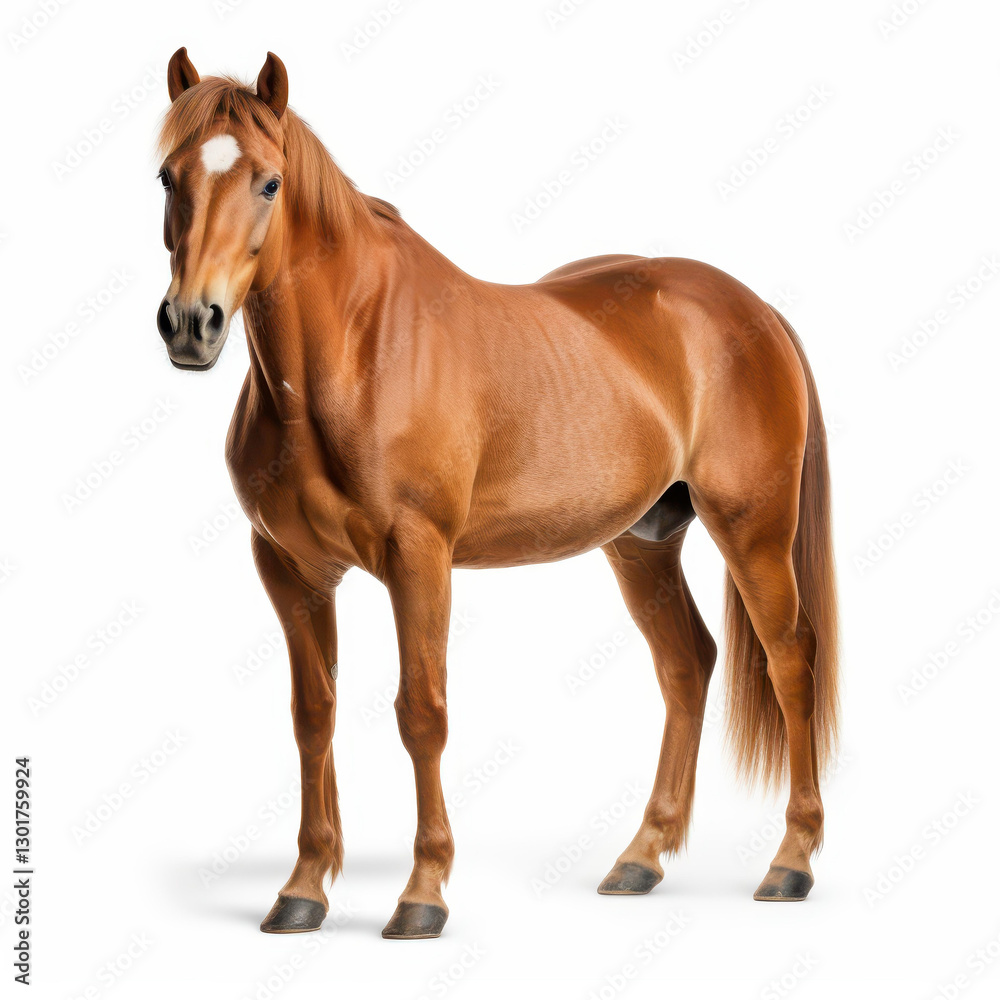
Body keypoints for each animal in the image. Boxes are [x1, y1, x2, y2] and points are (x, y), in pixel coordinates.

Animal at [155, 48, 839, 939]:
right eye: (167, 177)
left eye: (269, 182)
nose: (190, 324)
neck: (356, 352)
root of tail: (754, 309)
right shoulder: (291, 569)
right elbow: (313, 716)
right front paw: (303, 889)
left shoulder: (419, 559)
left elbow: (422, 713)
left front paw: (422, 894)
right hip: (643, 542)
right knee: (687, 664)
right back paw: (641, 858)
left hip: (752, 530)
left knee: (792, 660)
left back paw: (791, 862)